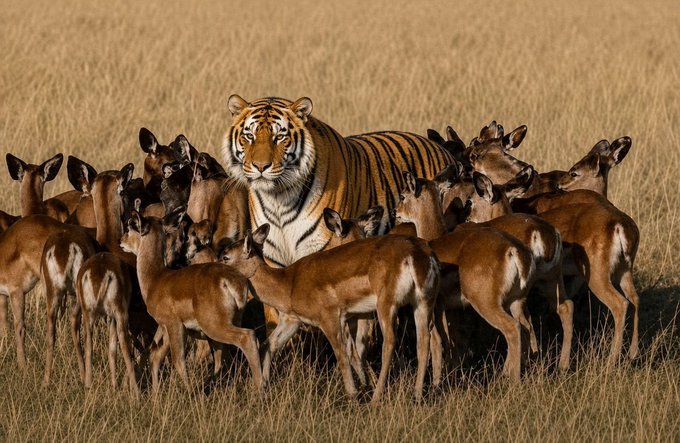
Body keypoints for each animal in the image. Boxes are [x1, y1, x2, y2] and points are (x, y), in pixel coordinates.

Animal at [120, 211, 263, 393]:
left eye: (130, 227)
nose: (121, 242)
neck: (156, 279)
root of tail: (230, 280)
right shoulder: (166, 328)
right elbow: (155, 356)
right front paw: (155, 395)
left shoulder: (174, 325)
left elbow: (178, 360)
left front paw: (188, 392)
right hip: (228, 324)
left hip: (214, 326)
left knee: (247, 337)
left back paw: (260, 389)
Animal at [219, 223, 440, 403]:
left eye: (226, 257)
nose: (215, 269)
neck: (288, 286)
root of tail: (417, 256)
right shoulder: (292, 319)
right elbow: (269, 344)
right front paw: (262, 388)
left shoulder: (329, 315)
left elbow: (342, 353)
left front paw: (353, 394)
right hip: (424, 299)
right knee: (424, 340)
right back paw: (417, 395)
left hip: (387, 301)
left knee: (390, 341)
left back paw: (376, 398)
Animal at [222, 95, 454, 267]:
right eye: (249, 136)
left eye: (279, 137)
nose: (260, 167)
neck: (278, 198)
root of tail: (442, 149)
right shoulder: (272, 256)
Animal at [394, 171, 536, 383]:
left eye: (403, 196)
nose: (396, 212)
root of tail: (513, 250)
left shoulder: (435, 307)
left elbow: (438, 341)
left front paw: (437, 380)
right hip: (516, 301)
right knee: (526, 327)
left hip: (486, 303)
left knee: (513, 329)